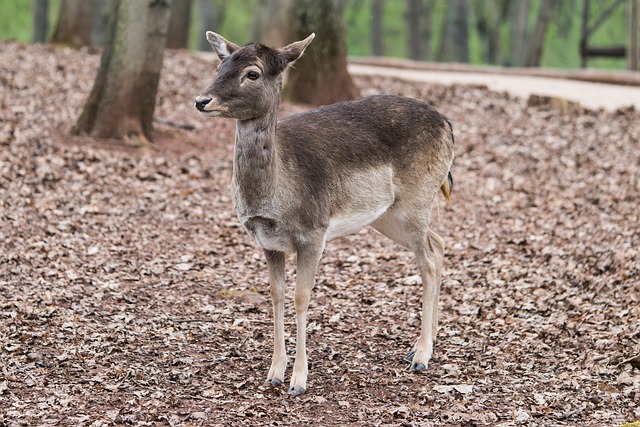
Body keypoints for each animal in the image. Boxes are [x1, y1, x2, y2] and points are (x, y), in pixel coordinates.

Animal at [195, 32, 456, 398]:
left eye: (252, 73)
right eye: (219, 66)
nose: (202, 100)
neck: (277, 195)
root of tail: (448, 124)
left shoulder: (313, 233)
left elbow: (301, 298)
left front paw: (298, 380)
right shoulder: (268, 243)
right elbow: (276, 295)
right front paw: (274, 373)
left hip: (416, 201)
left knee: (429, 260)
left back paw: (420, 355)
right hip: (388, 216)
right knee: (439, 242)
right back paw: (428, 342)